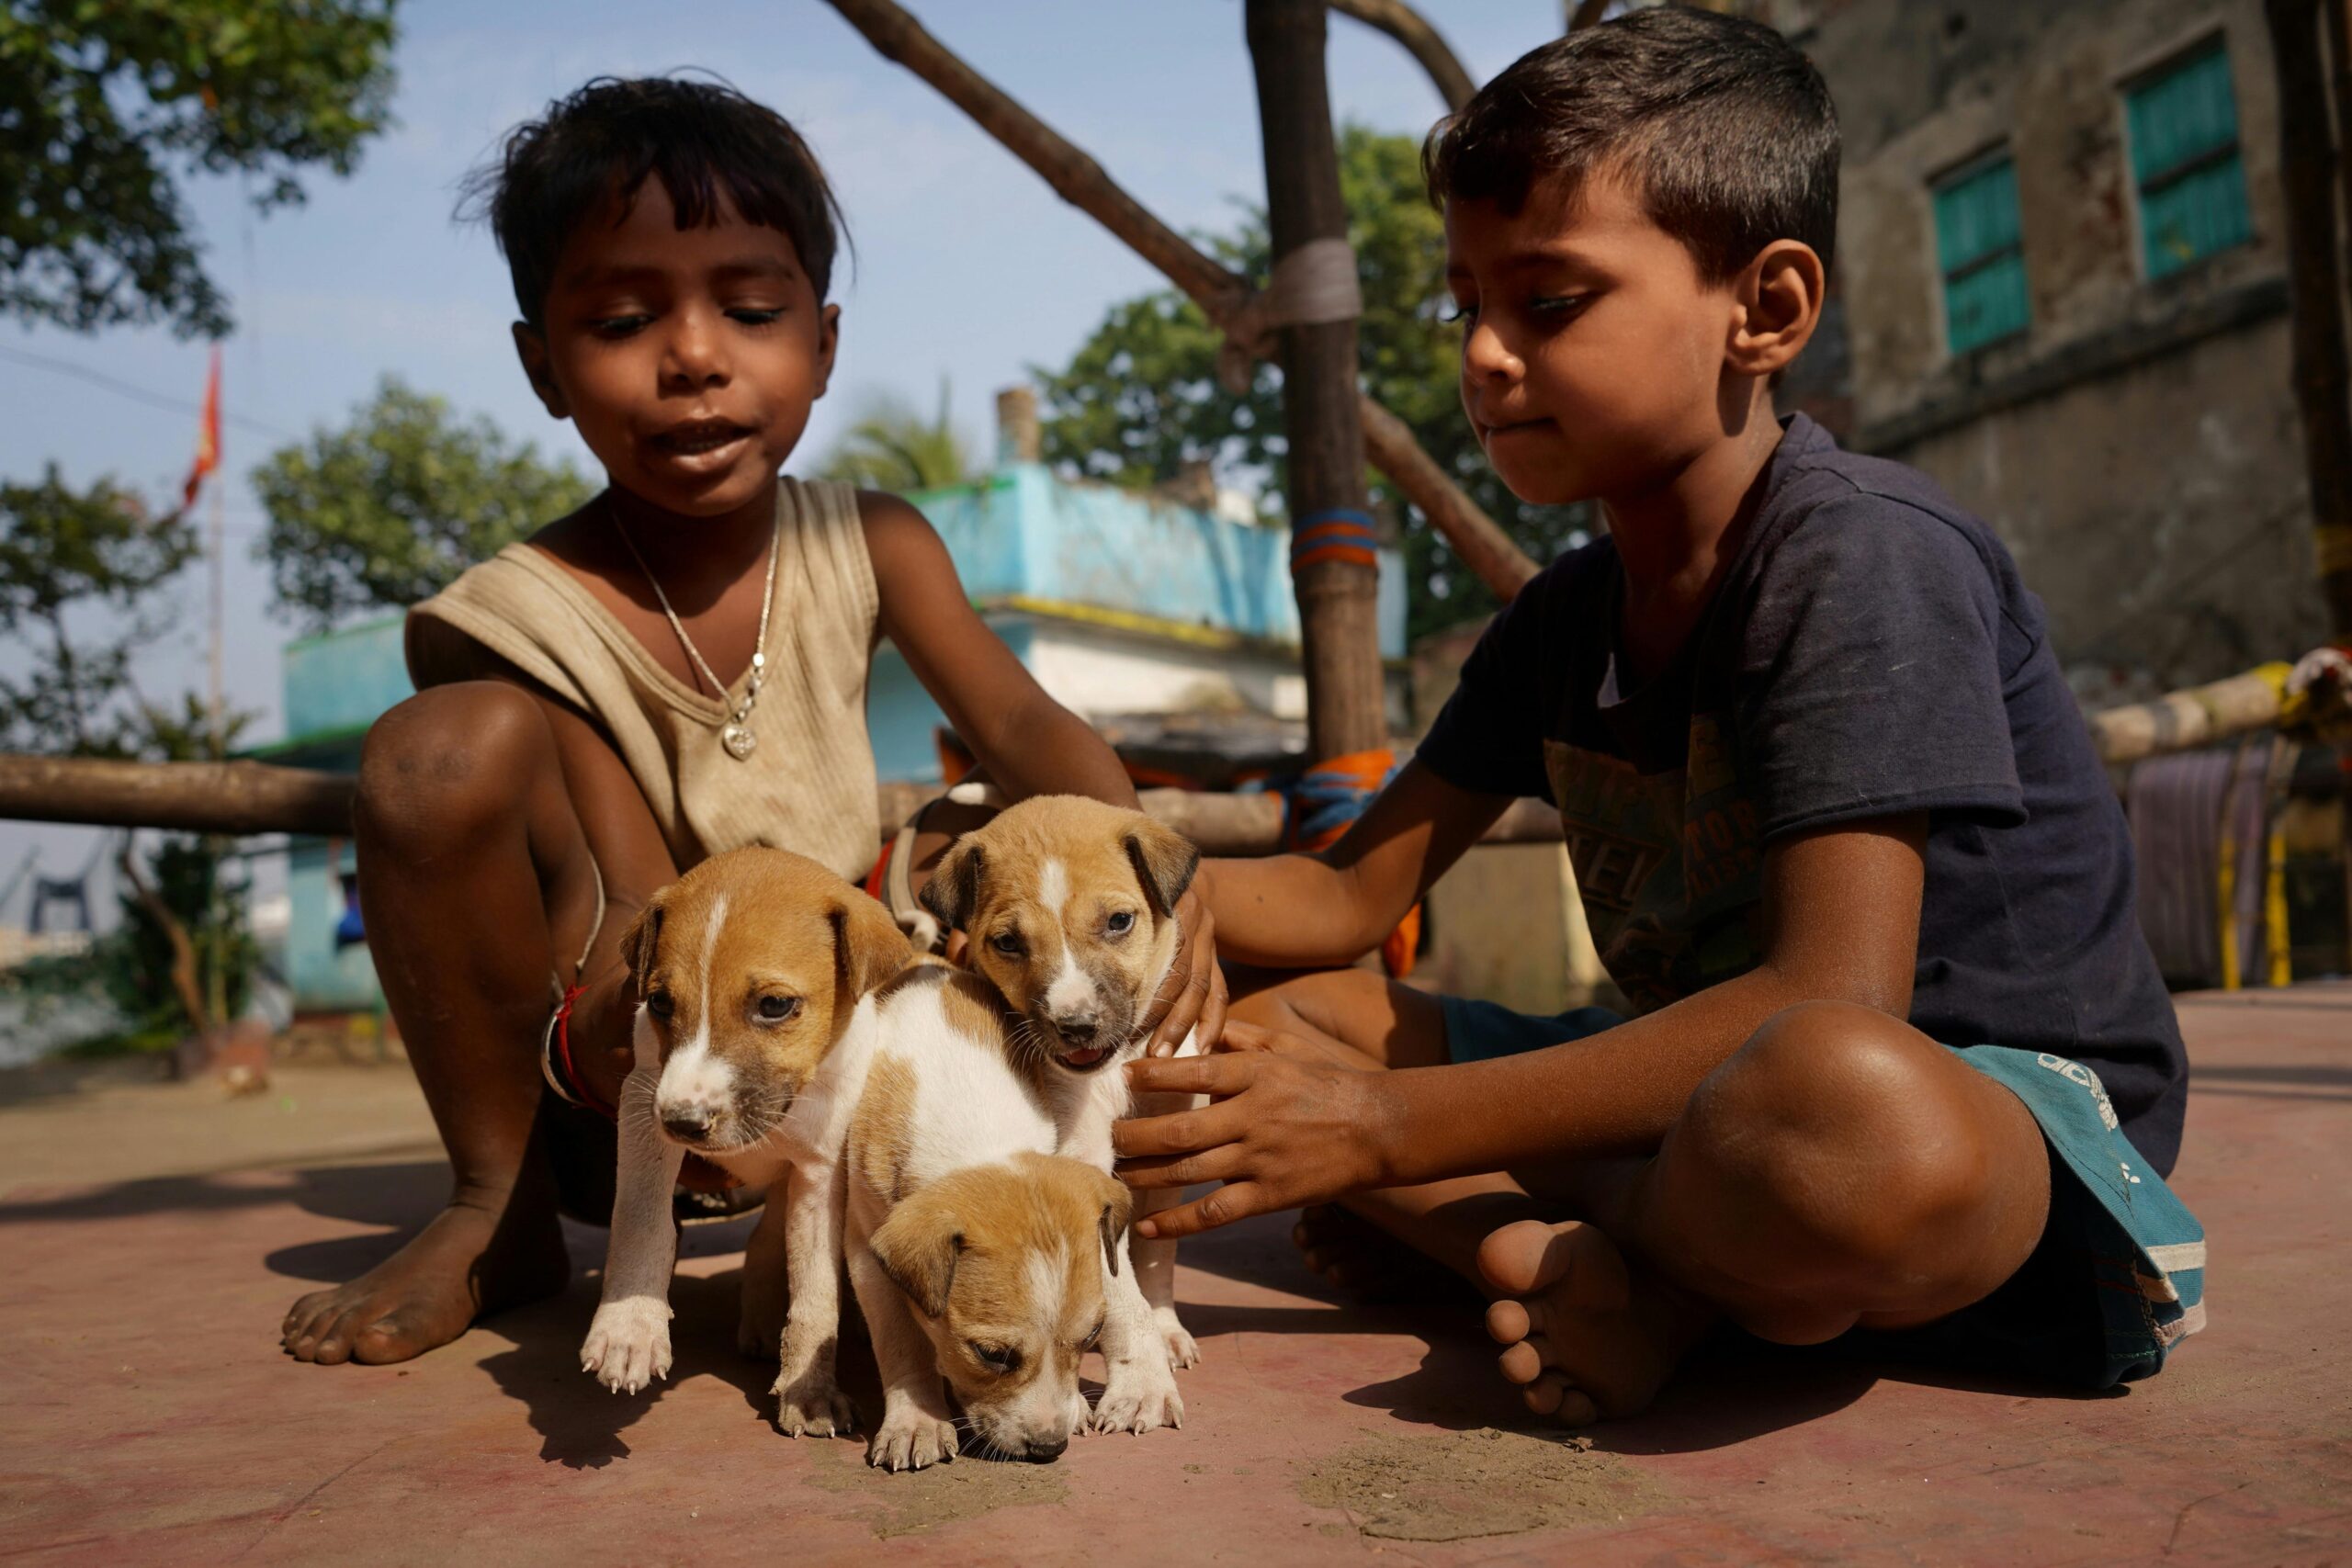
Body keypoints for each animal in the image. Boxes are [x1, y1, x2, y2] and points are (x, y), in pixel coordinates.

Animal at [576, 846, 908, 1438]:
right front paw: (629, 1328)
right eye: (659, 1003)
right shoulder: (642, 1106)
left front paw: (810, 1391)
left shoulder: (819, 1176)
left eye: (774, 1005)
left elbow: (816, 1291)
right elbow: (642, 1219)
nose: (684, 1124)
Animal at [846, 968, 1138, 1476]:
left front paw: (1079, 1407)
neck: (977, 1137)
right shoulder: (866, 1248)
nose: (1049, 1448)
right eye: (991, 1355)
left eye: (1092, 1335)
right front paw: (916, 1422)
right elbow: (902, 1339)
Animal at [917, 799, 1213, 1438]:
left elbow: (1156, 1253)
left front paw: (1162, 1335)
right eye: (1007, 942)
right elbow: (1121, 1295)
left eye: (1119, 922)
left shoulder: (1173, 1140)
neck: (1119, 1064)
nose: (1076, 1027)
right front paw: (1143, 1389)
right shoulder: (1082, 1163)